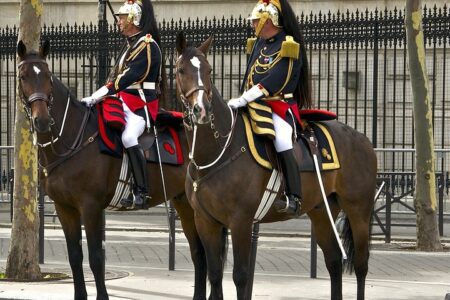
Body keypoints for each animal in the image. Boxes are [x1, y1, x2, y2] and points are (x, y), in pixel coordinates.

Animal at [16, 40, 207, 300]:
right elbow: (75, 257)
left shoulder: (91, 206)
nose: (42, 121)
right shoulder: (64, 208)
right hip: (183, 202)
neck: (73, 138)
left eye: (47, 75)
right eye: (22, 76)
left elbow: (97, 258)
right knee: (199, 253)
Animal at [175, 32, 376, 300]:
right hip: (321, 210)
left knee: (362, 265)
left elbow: (240, 276)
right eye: (180, 70)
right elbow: (215, 274)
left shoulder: (240, 221)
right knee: (334, 260)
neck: (216, 151)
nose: (202, 110)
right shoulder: (205, 220)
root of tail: (363, 139)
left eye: (209, 70)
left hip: (359, 210)